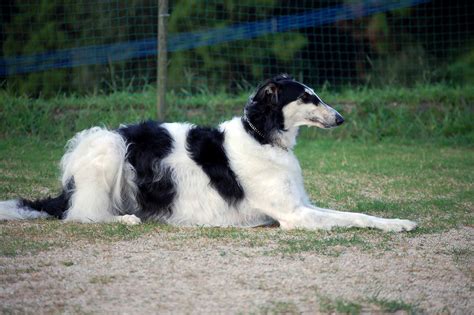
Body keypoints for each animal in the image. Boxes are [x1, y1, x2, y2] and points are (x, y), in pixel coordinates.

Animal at [0, 74, 414, 232]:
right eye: (308, 97)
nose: (341, 118)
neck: (260, 137)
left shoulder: (300, 205)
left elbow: (359, 214)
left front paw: (399, 222)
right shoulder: (293, 215)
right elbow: (354, 218)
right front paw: (397, 225)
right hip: (108, 146)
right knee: (80, 215)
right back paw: (124, 219)